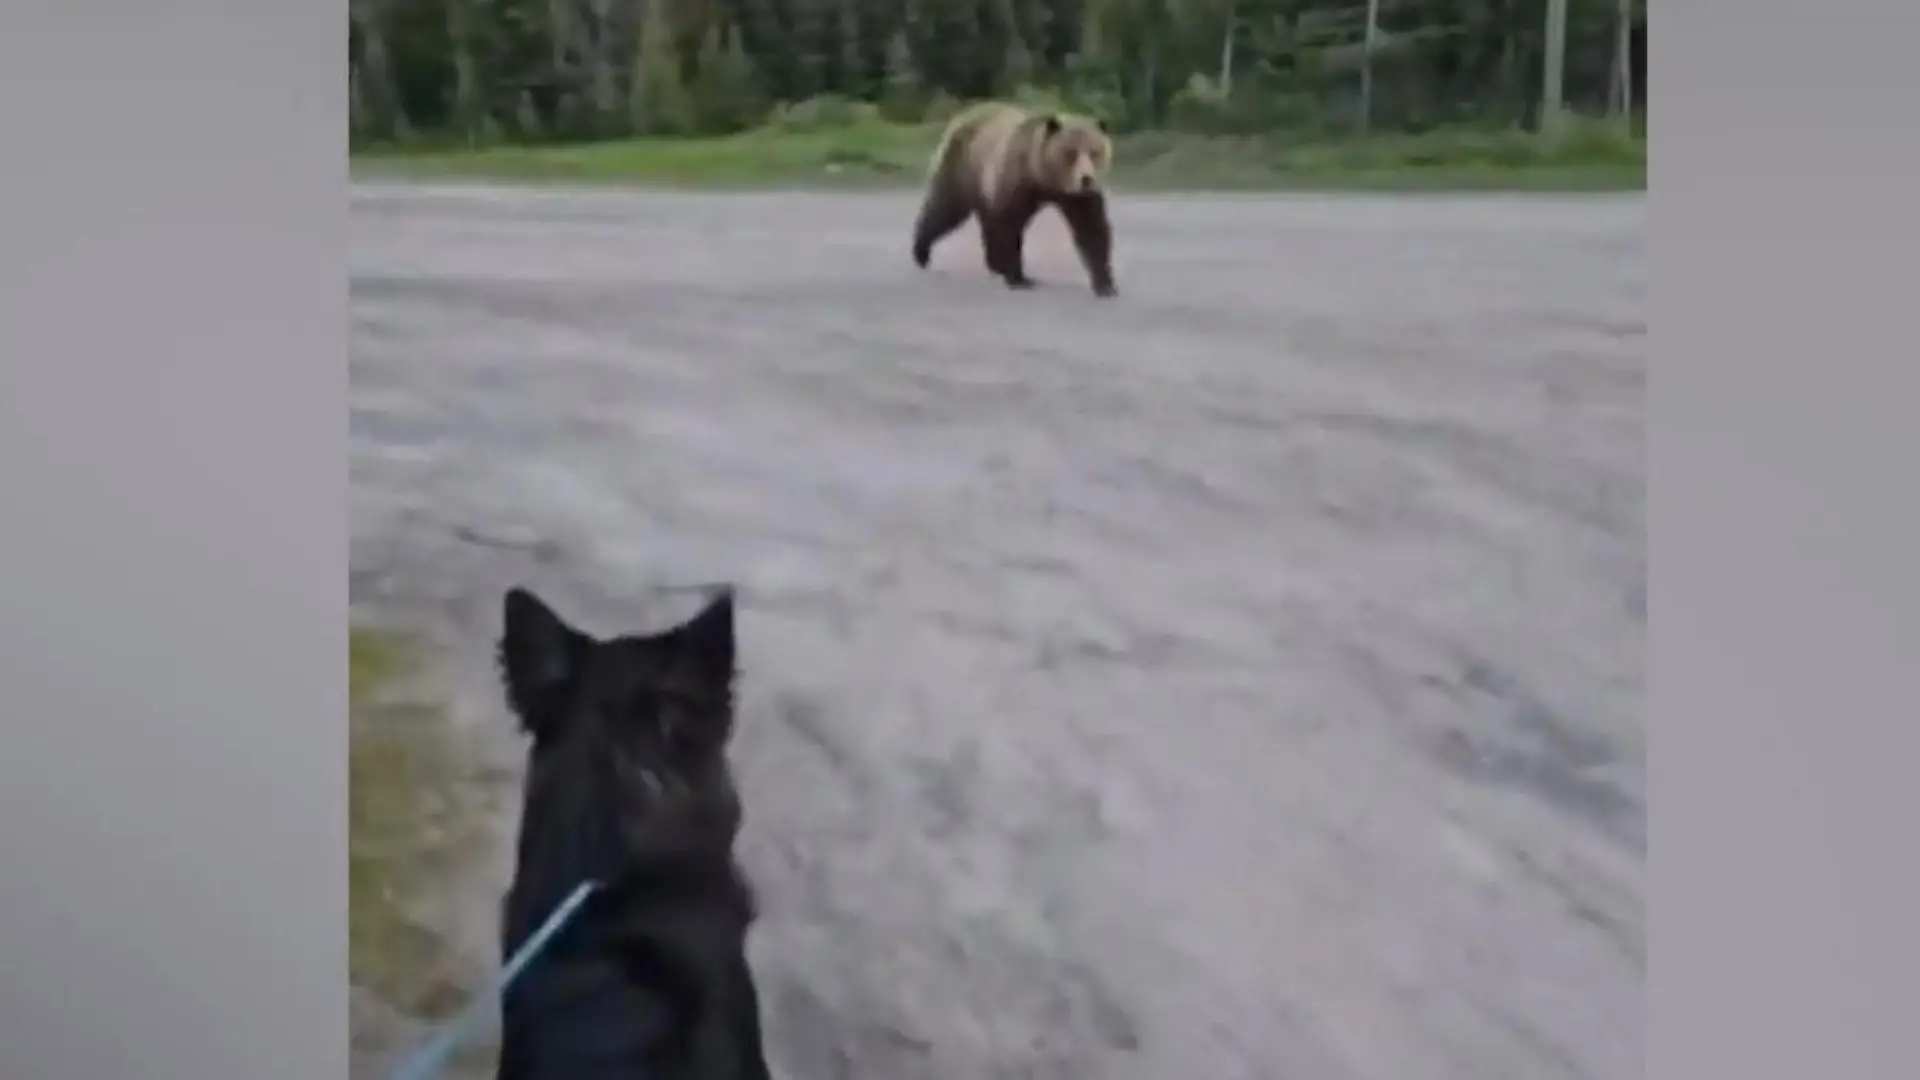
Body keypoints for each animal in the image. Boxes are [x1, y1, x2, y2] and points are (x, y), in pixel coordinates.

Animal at [910, 101, 1119, 298]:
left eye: (1095, 152)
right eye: (1070, 153)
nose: (1086, 178)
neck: (1044, 178)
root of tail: (964, 115)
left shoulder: (1076, 196)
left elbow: (1091, 229)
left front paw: (1106, 285)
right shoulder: (1017, 180)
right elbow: (1009, 224)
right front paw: (1019, 278)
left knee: (984, 220)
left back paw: (994, 265)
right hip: (962, 166)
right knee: (946, 209)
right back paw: (921, 253)